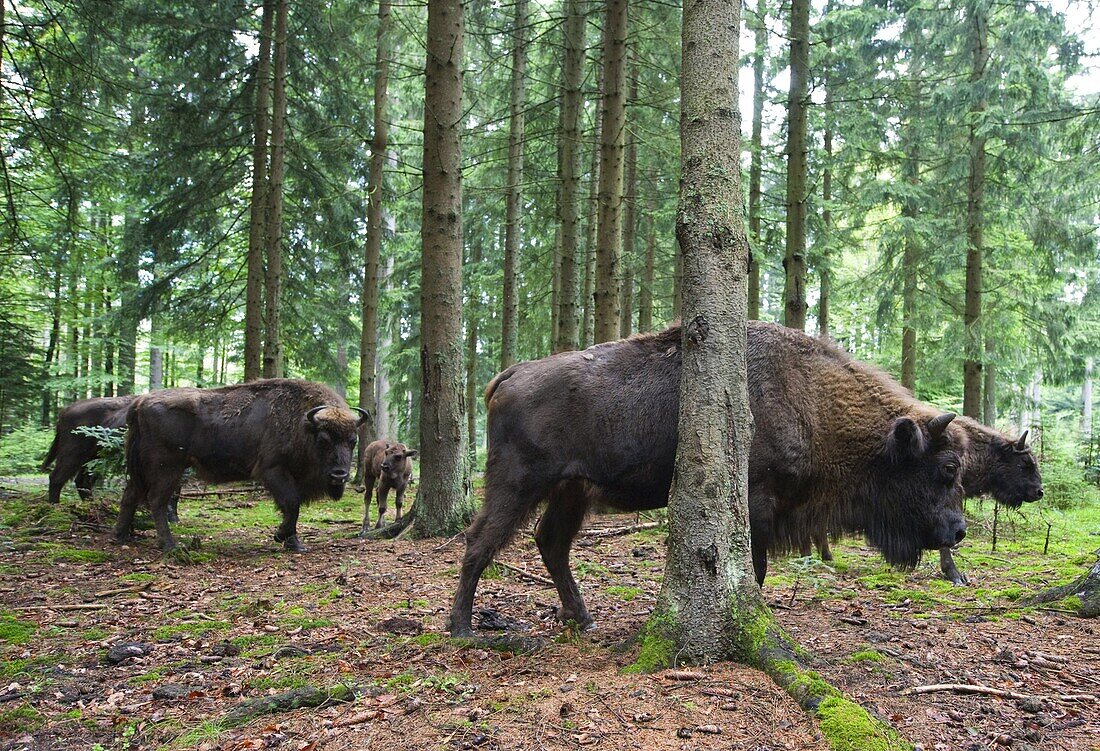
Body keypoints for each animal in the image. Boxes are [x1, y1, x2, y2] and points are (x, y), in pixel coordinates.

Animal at [114, 382, 367, 551]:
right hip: (166, 468)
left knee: (130, 495)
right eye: (323, 440)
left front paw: (293, 543)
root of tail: (140, 403)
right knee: (156, 500)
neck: (304, 424)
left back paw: (121, 536)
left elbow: (292, 508)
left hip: (144, 471)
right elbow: (291, 504)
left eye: (353, 441)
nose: (339, 475)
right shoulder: (272, 470)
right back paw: (170, 545)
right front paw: (284, 538)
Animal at [444, 321, 963, 637]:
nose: (958, 530)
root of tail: (513, 373)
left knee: (550, 542)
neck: (811, 397)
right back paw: (463, 628)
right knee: (479, 540)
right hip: (517, 483)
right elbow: (755, 567)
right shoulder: (756, 503)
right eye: (947, 468)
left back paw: (583, 618)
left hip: (572, 490)